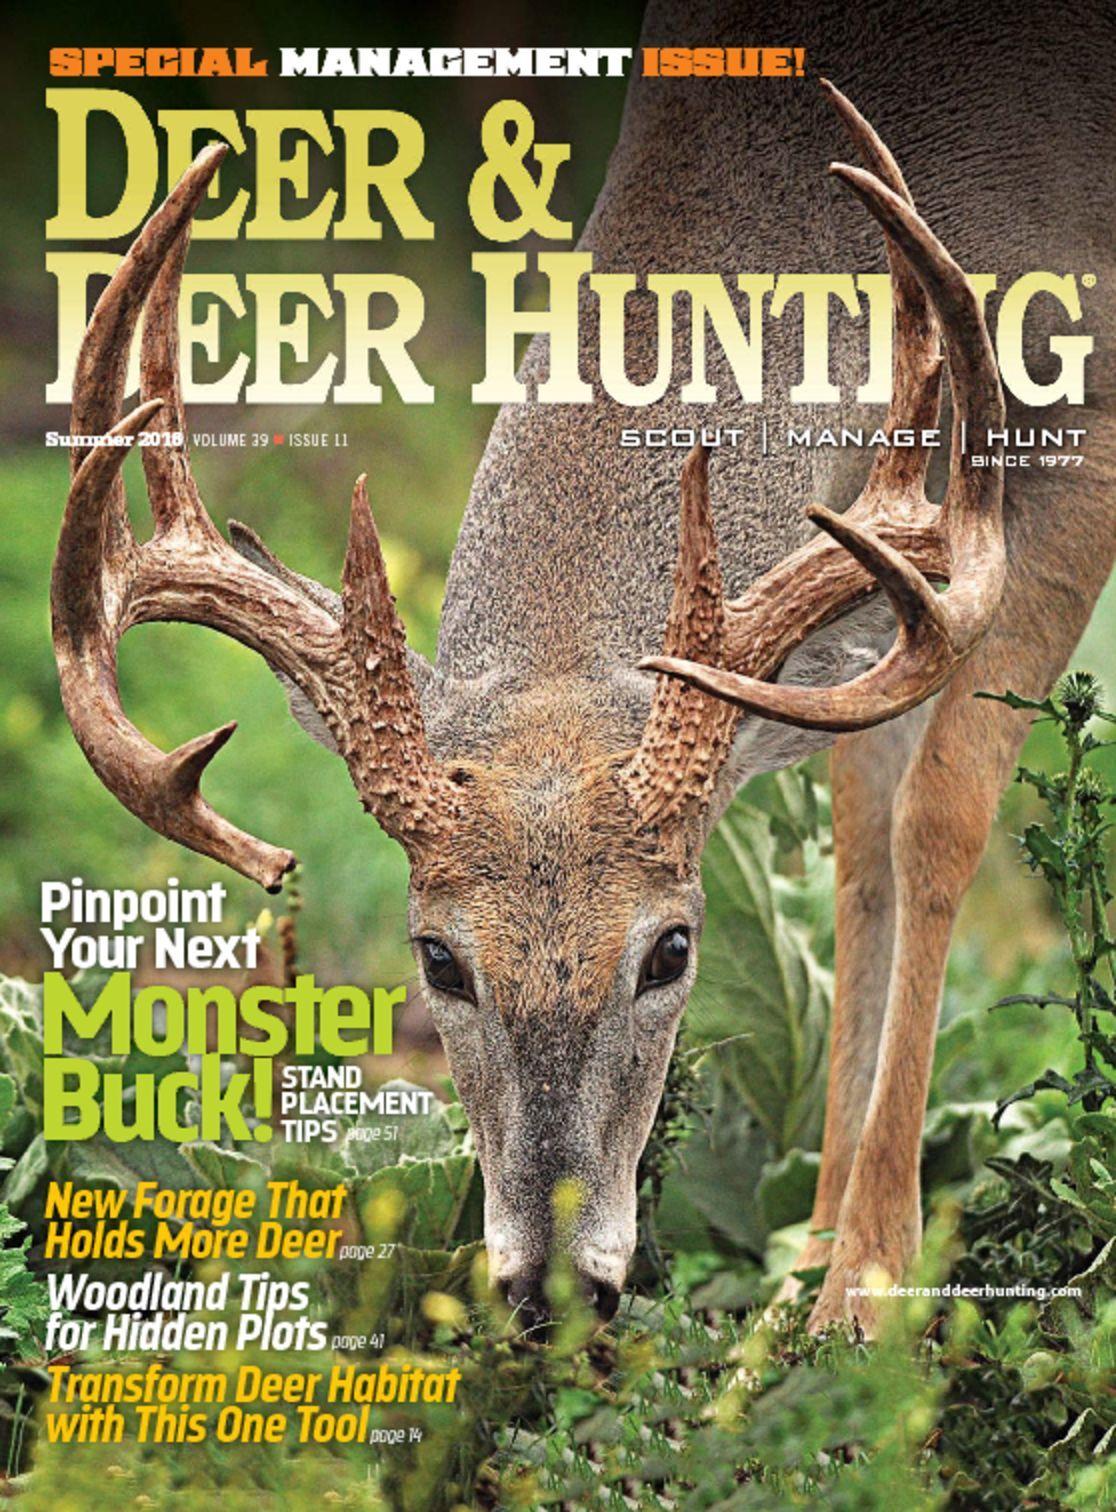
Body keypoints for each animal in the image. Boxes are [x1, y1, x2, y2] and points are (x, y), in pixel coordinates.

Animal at [52, 0, 1116, 1337]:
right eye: (437, 958)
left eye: (673, 951)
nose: (553, 1286)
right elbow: (861, 850)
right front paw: (810, 1262)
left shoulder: (1084, 426)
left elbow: (940, 821)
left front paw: (868, 1290)